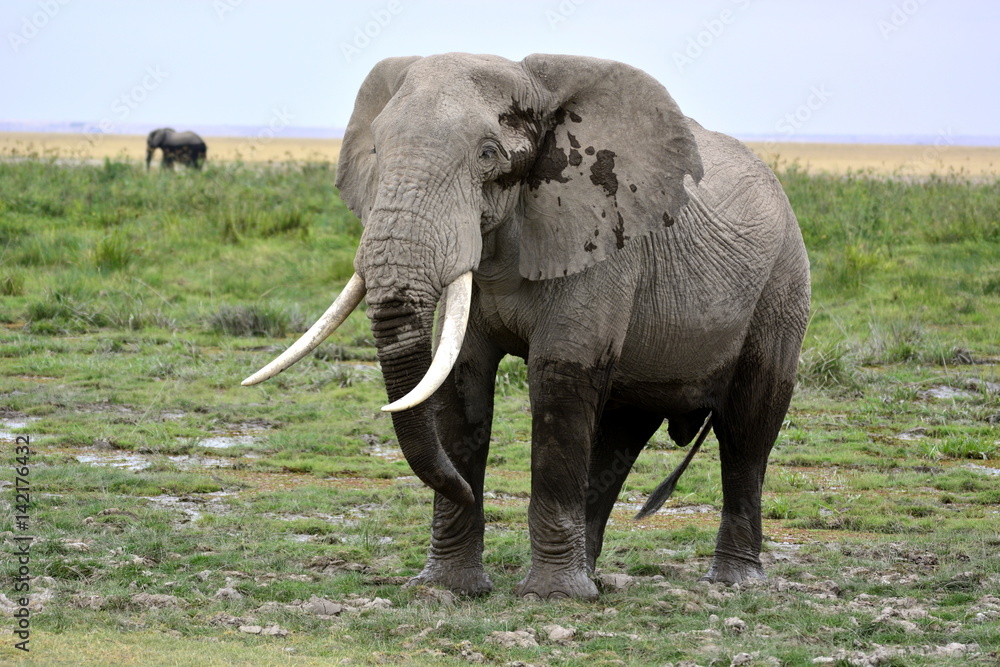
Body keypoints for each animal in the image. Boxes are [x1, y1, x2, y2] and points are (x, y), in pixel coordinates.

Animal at [243, 53, 811, 600]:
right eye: (377, 152)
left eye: (488, 154)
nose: (464, 489)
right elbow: (460, 382)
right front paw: (447, 589)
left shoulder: (601, 238)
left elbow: (557, 381)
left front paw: (549, 597)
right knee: (621, 433)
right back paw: (592, 578)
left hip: (783, 286)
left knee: (747, 432)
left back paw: (731, 582)